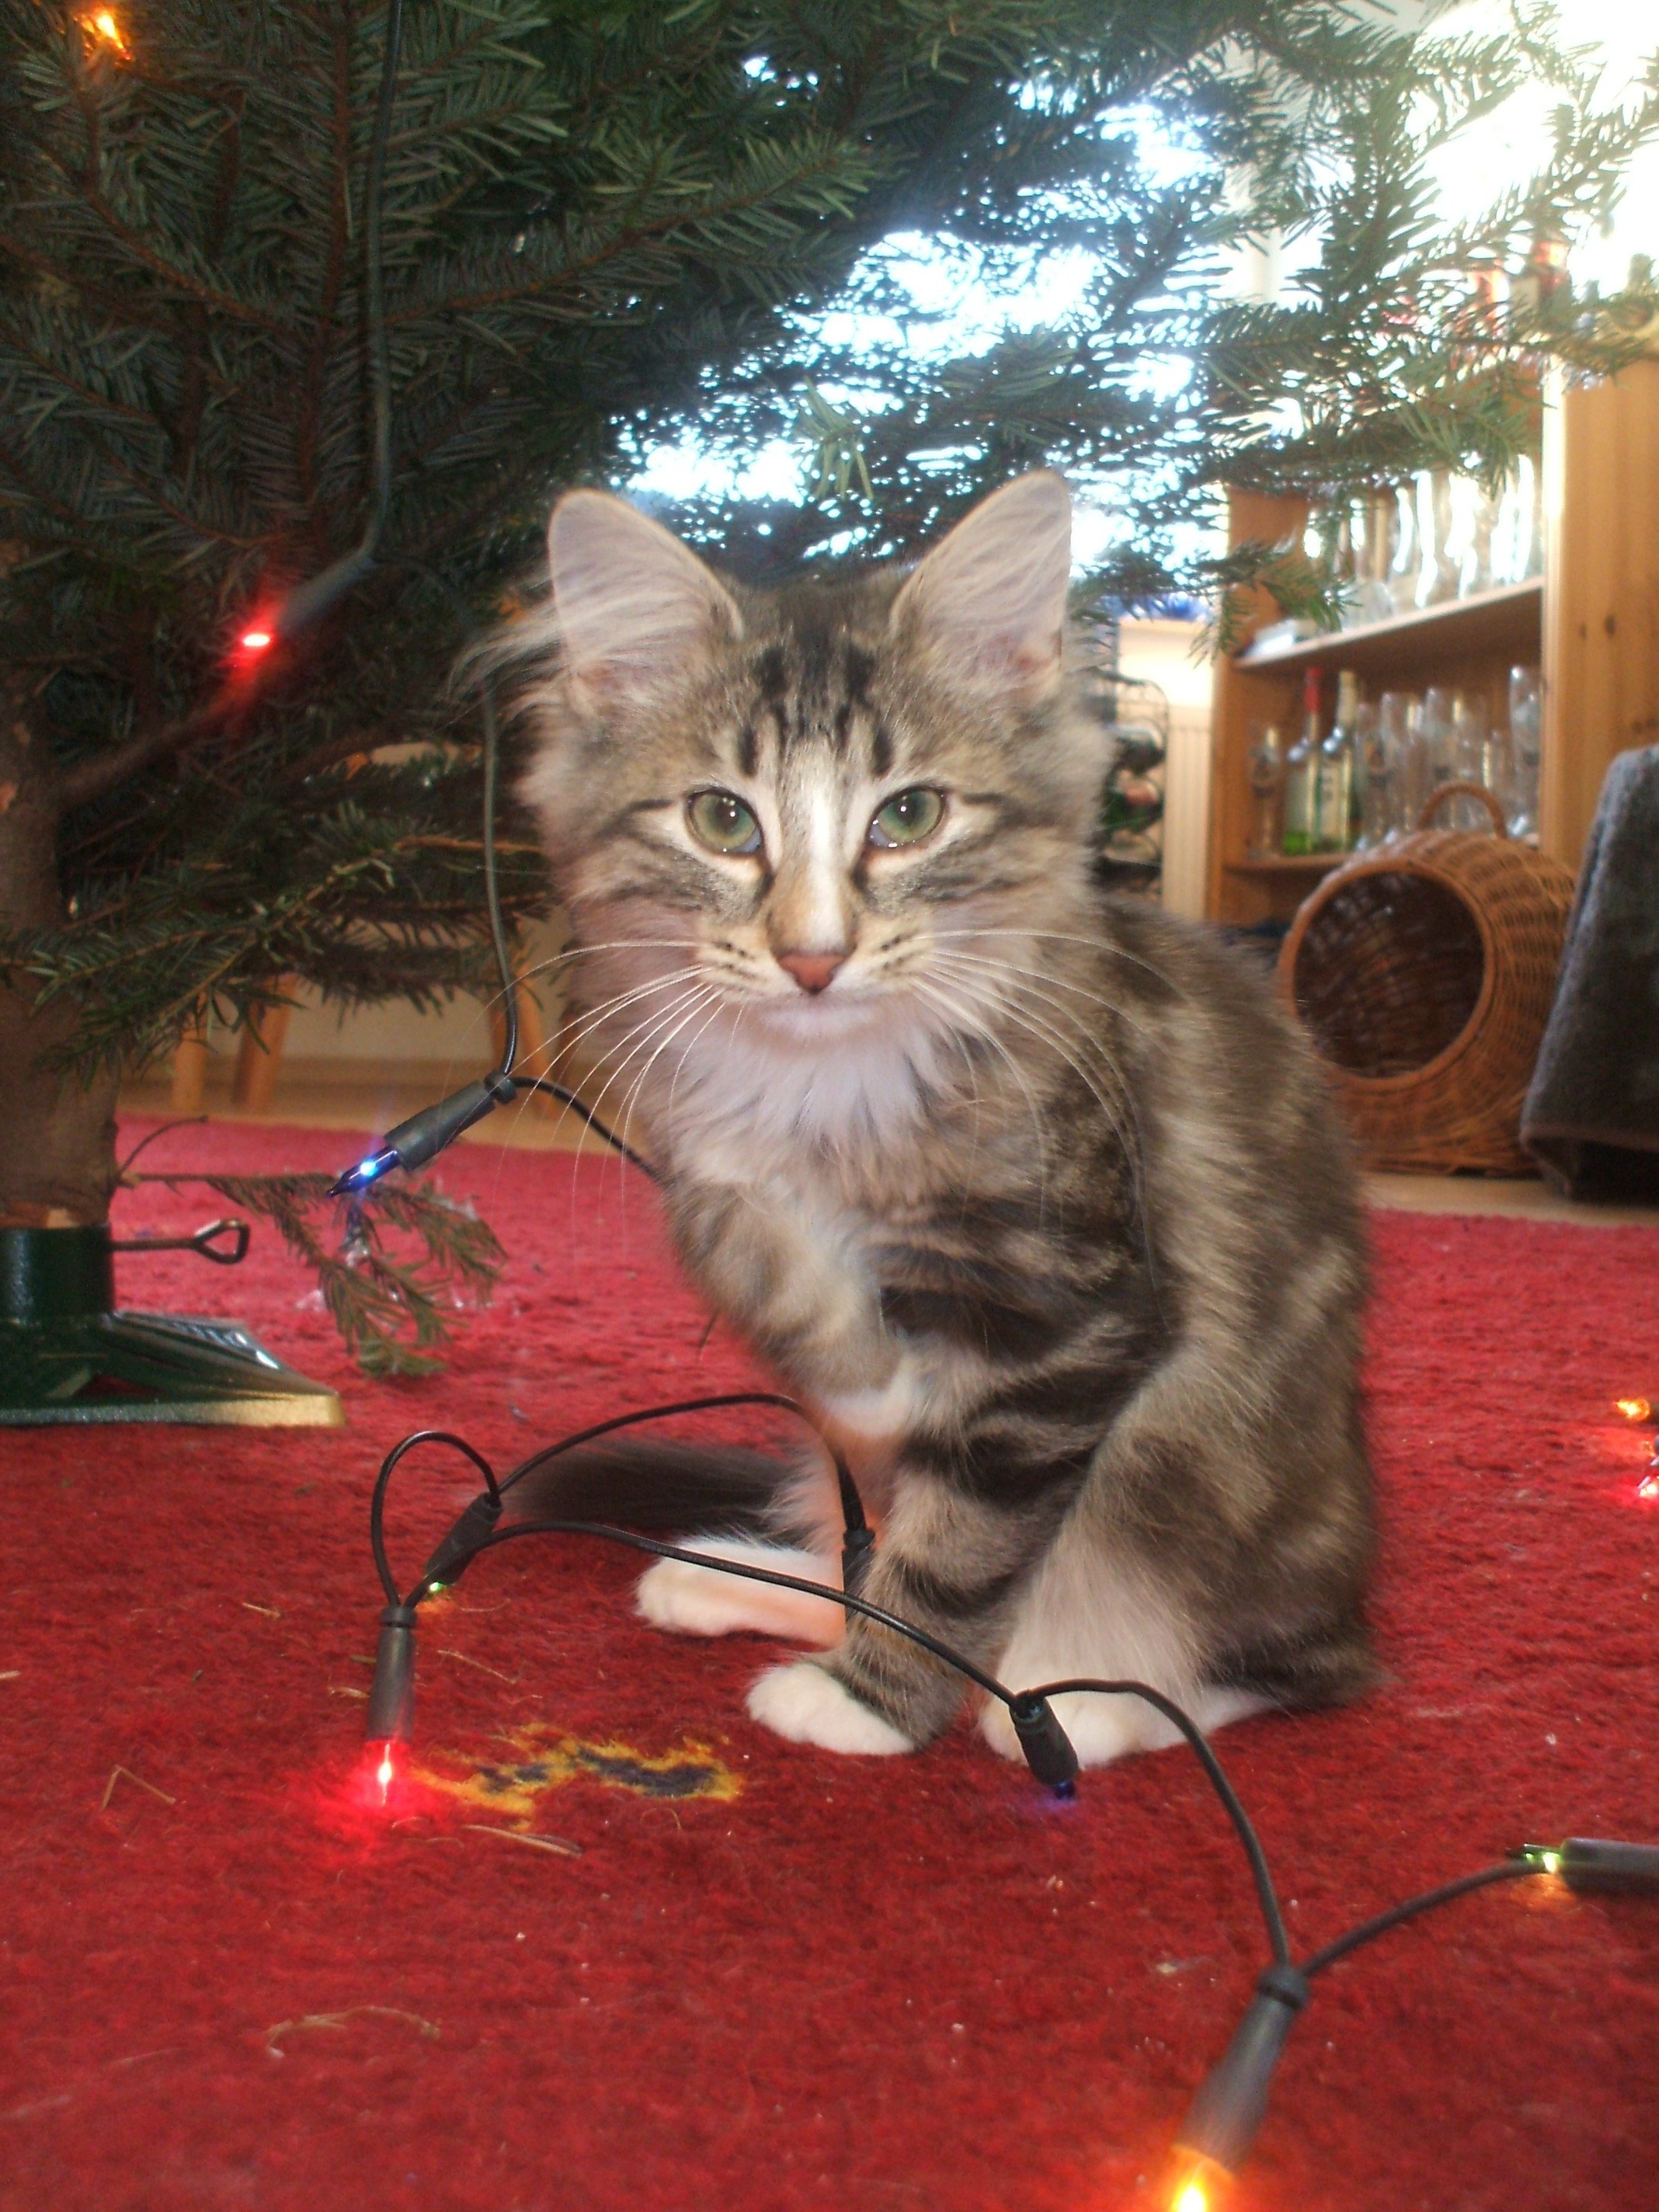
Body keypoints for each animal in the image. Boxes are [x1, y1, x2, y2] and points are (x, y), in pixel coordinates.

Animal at [508, 469, 1376, 1768]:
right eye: (723, 821)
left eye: (909, 815)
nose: (813, 958)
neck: (824, 1082)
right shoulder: (699, 1160)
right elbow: (759, 1249)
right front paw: (865, 1371)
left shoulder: (1064, 1321)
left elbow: (955, 1552)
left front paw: (867, 1702)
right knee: (851, 1551)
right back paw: (723, 1574)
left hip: (1217, 1488)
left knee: (1282, 1669)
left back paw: (1079, 1705)